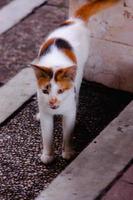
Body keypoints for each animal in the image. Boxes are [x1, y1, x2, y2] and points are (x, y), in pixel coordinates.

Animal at [31, 0, 119, 164]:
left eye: (60, 91)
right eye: (45, 90)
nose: (52, 102)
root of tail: (74, 20)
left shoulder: (68, 112)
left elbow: (68, 133)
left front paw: (68, 152)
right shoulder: (46, 113)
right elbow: (47, 136)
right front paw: (48, 155)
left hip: (79, 72)